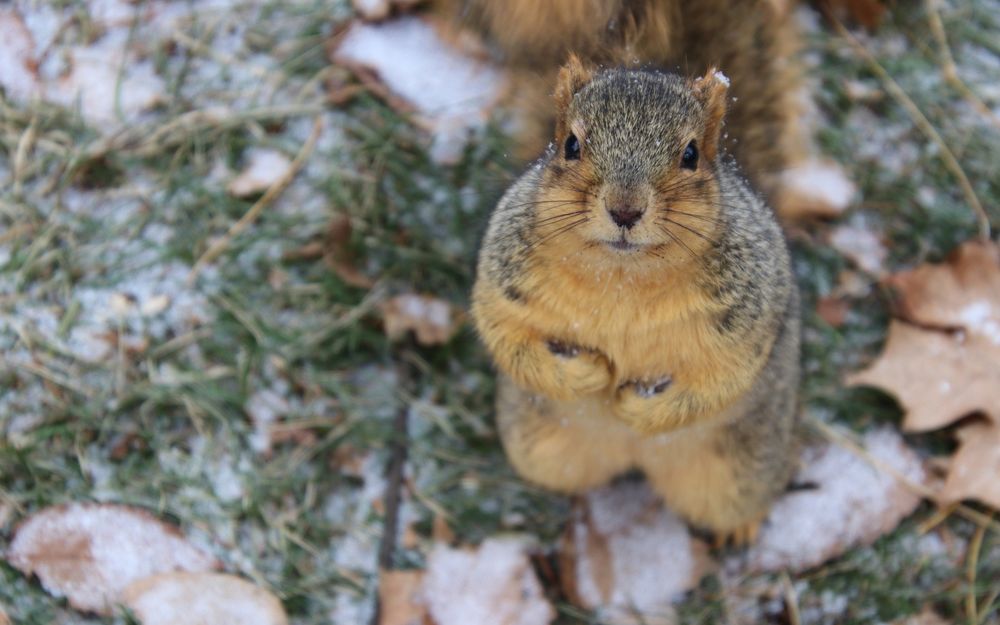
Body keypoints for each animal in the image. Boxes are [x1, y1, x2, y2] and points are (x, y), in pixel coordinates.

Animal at [471, 59, 801, 544]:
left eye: (691, 154)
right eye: (571, 145)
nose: (625, 210)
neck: (623, 279)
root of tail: (634, 458)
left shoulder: (748, 317)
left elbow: (723, 378)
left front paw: (639, 408)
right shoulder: (503, 285)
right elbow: (506, 338)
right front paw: (586, 374)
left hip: (741, 472)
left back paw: (738, 528)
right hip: (538, 448)